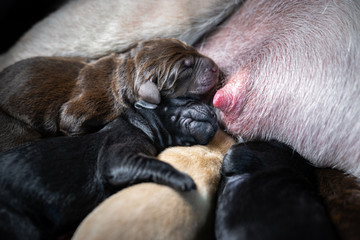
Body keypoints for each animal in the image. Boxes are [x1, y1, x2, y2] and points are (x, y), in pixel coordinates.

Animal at [0, 97, 218, 240]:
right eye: (188, 98)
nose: (215, 111)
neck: (138, 122)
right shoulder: (117, 159)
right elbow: (155, 163)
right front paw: (183, 179)